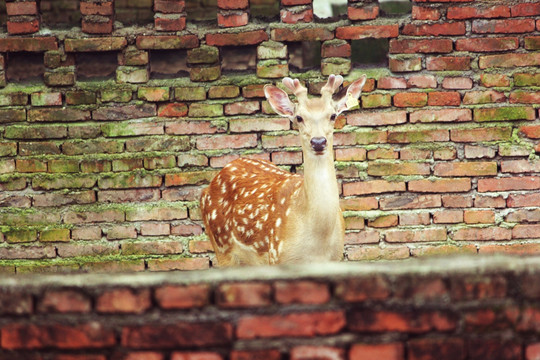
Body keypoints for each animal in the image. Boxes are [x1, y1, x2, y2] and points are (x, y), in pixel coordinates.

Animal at [201, 74, 368, 264]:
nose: (318, 142)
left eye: (333, 115)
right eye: (299, 117)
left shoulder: (336, 258)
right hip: (221, 244)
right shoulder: (277, 255)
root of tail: (206, 189)